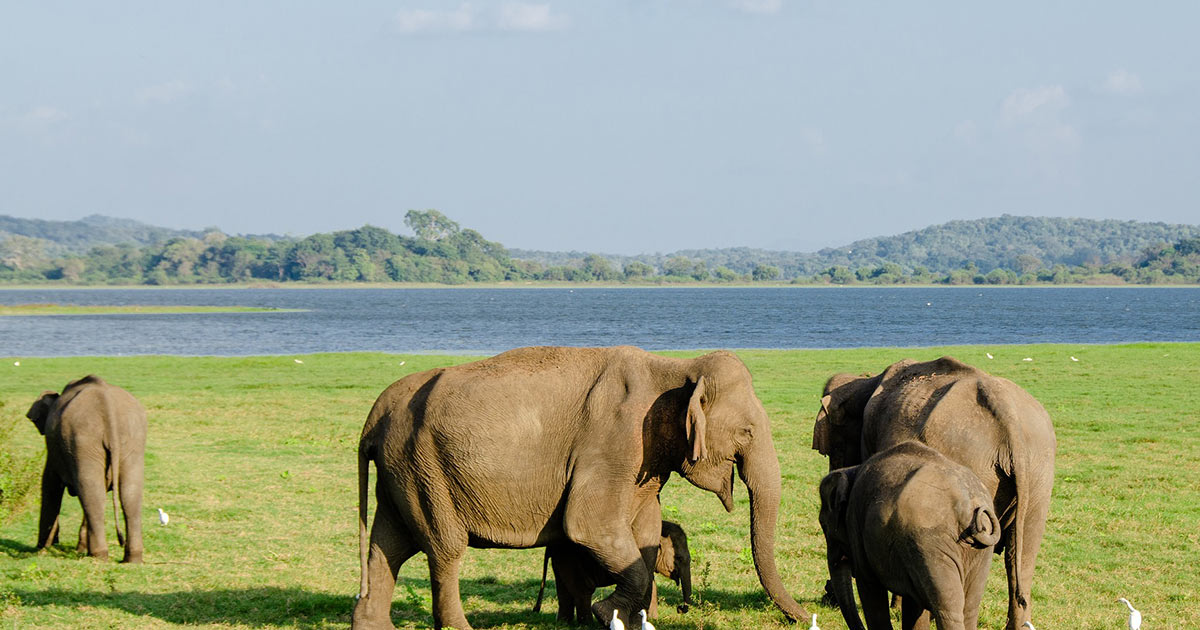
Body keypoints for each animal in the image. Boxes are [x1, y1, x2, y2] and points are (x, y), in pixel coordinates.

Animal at [26, 372, 147, 561]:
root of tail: (108, 407)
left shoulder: (54, 452)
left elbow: (50, 485)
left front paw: (42, 549)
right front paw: (79, 549)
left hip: (83, 440)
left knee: (92, 492)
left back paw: (99, 556)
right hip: (133, 440)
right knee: (127, 494)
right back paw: (131, 559)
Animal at [535, 518, 696, 619]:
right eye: (679, 558)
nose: (679, 608)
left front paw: (652, 618)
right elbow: (650, 584)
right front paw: (652, 619)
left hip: (561, 560)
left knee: (565, 590)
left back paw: (564, 622)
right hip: (572, 561)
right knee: (583, 591)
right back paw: (586, 623)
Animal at [820, 439, 1008, 628]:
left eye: (824, 525)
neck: (853, 469)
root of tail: (969, 505)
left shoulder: (856, 525)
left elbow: (869, 586)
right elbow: (913, 604)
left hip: (930, 545)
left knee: (948, 608)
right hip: (978, 554)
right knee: (969, 609)